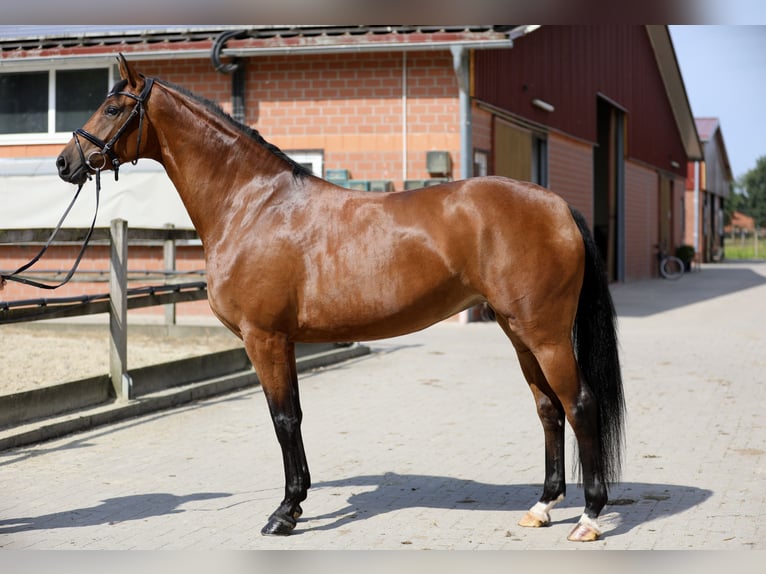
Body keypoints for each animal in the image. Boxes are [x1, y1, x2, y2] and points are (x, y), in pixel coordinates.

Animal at [58, 55, 624, 544]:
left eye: (113, 109)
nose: (66, 163)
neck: (253, 205)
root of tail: (558, 205)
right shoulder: (283, 341)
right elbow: (293, 416)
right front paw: (297, 501)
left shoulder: (265, 339)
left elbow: (283, 420)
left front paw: (284, 513)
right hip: (518, 331)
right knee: (548, 408)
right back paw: (543, 506)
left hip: (545, 334)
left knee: (579, 404)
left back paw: (589, 518)